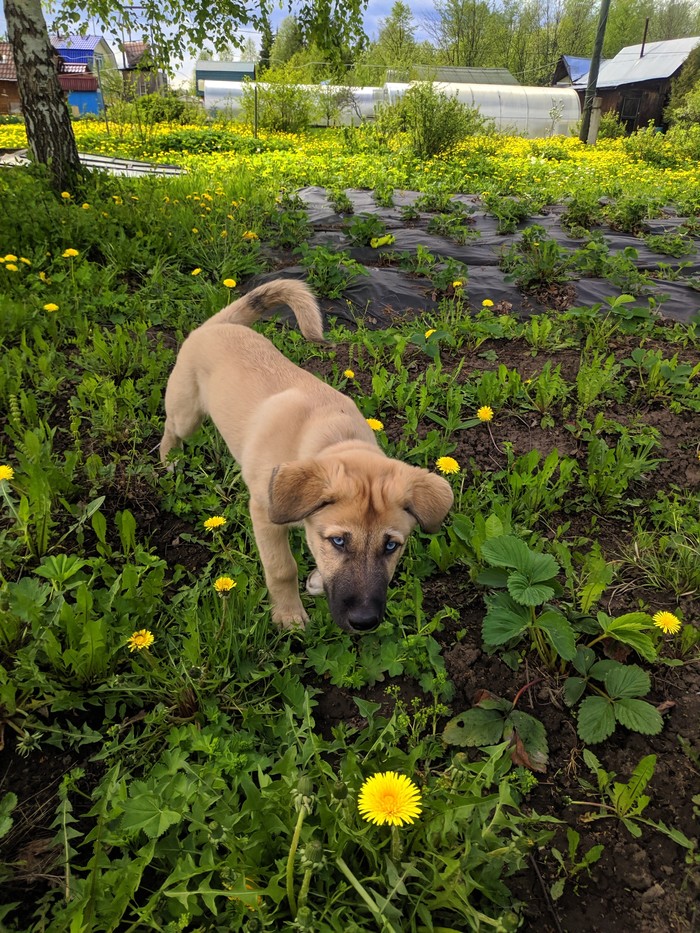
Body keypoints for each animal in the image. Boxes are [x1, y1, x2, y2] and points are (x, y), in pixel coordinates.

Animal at [160, 279, 453, 634]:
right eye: (339, 541)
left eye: (391, 546)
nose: (364, 622)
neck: (336, 439)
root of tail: (217, 326)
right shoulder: (265, 515)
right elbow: (282, 568)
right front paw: (288, 615)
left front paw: (315, 581)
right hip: (186, 414)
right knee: (170, 428)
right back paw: (169, 460)